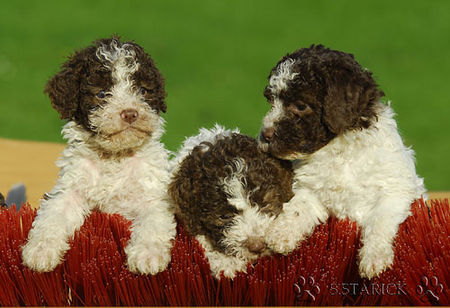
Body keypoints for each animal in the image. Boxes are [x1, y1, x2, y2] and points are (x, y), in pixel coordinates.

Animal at [21, 36, 176, 274]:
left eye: (142, 90)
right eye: (102, 94)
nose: (130, 113)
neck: (114, 157)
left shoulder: (154, 196)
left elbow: (153, 222)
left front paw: (148, 255)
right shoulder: (70, 188)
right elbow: (52, 215)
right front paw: (40, 250)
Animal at [260, 44, 426, 280]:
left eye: (301, 106)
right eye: (271, 101)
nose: (264, 135)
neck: (339, 151)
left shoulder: (395, 191)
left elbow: (379, 222)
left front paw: (374, 258)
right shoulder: (312, 191)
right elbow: (298, 207)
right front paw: (281, 233)